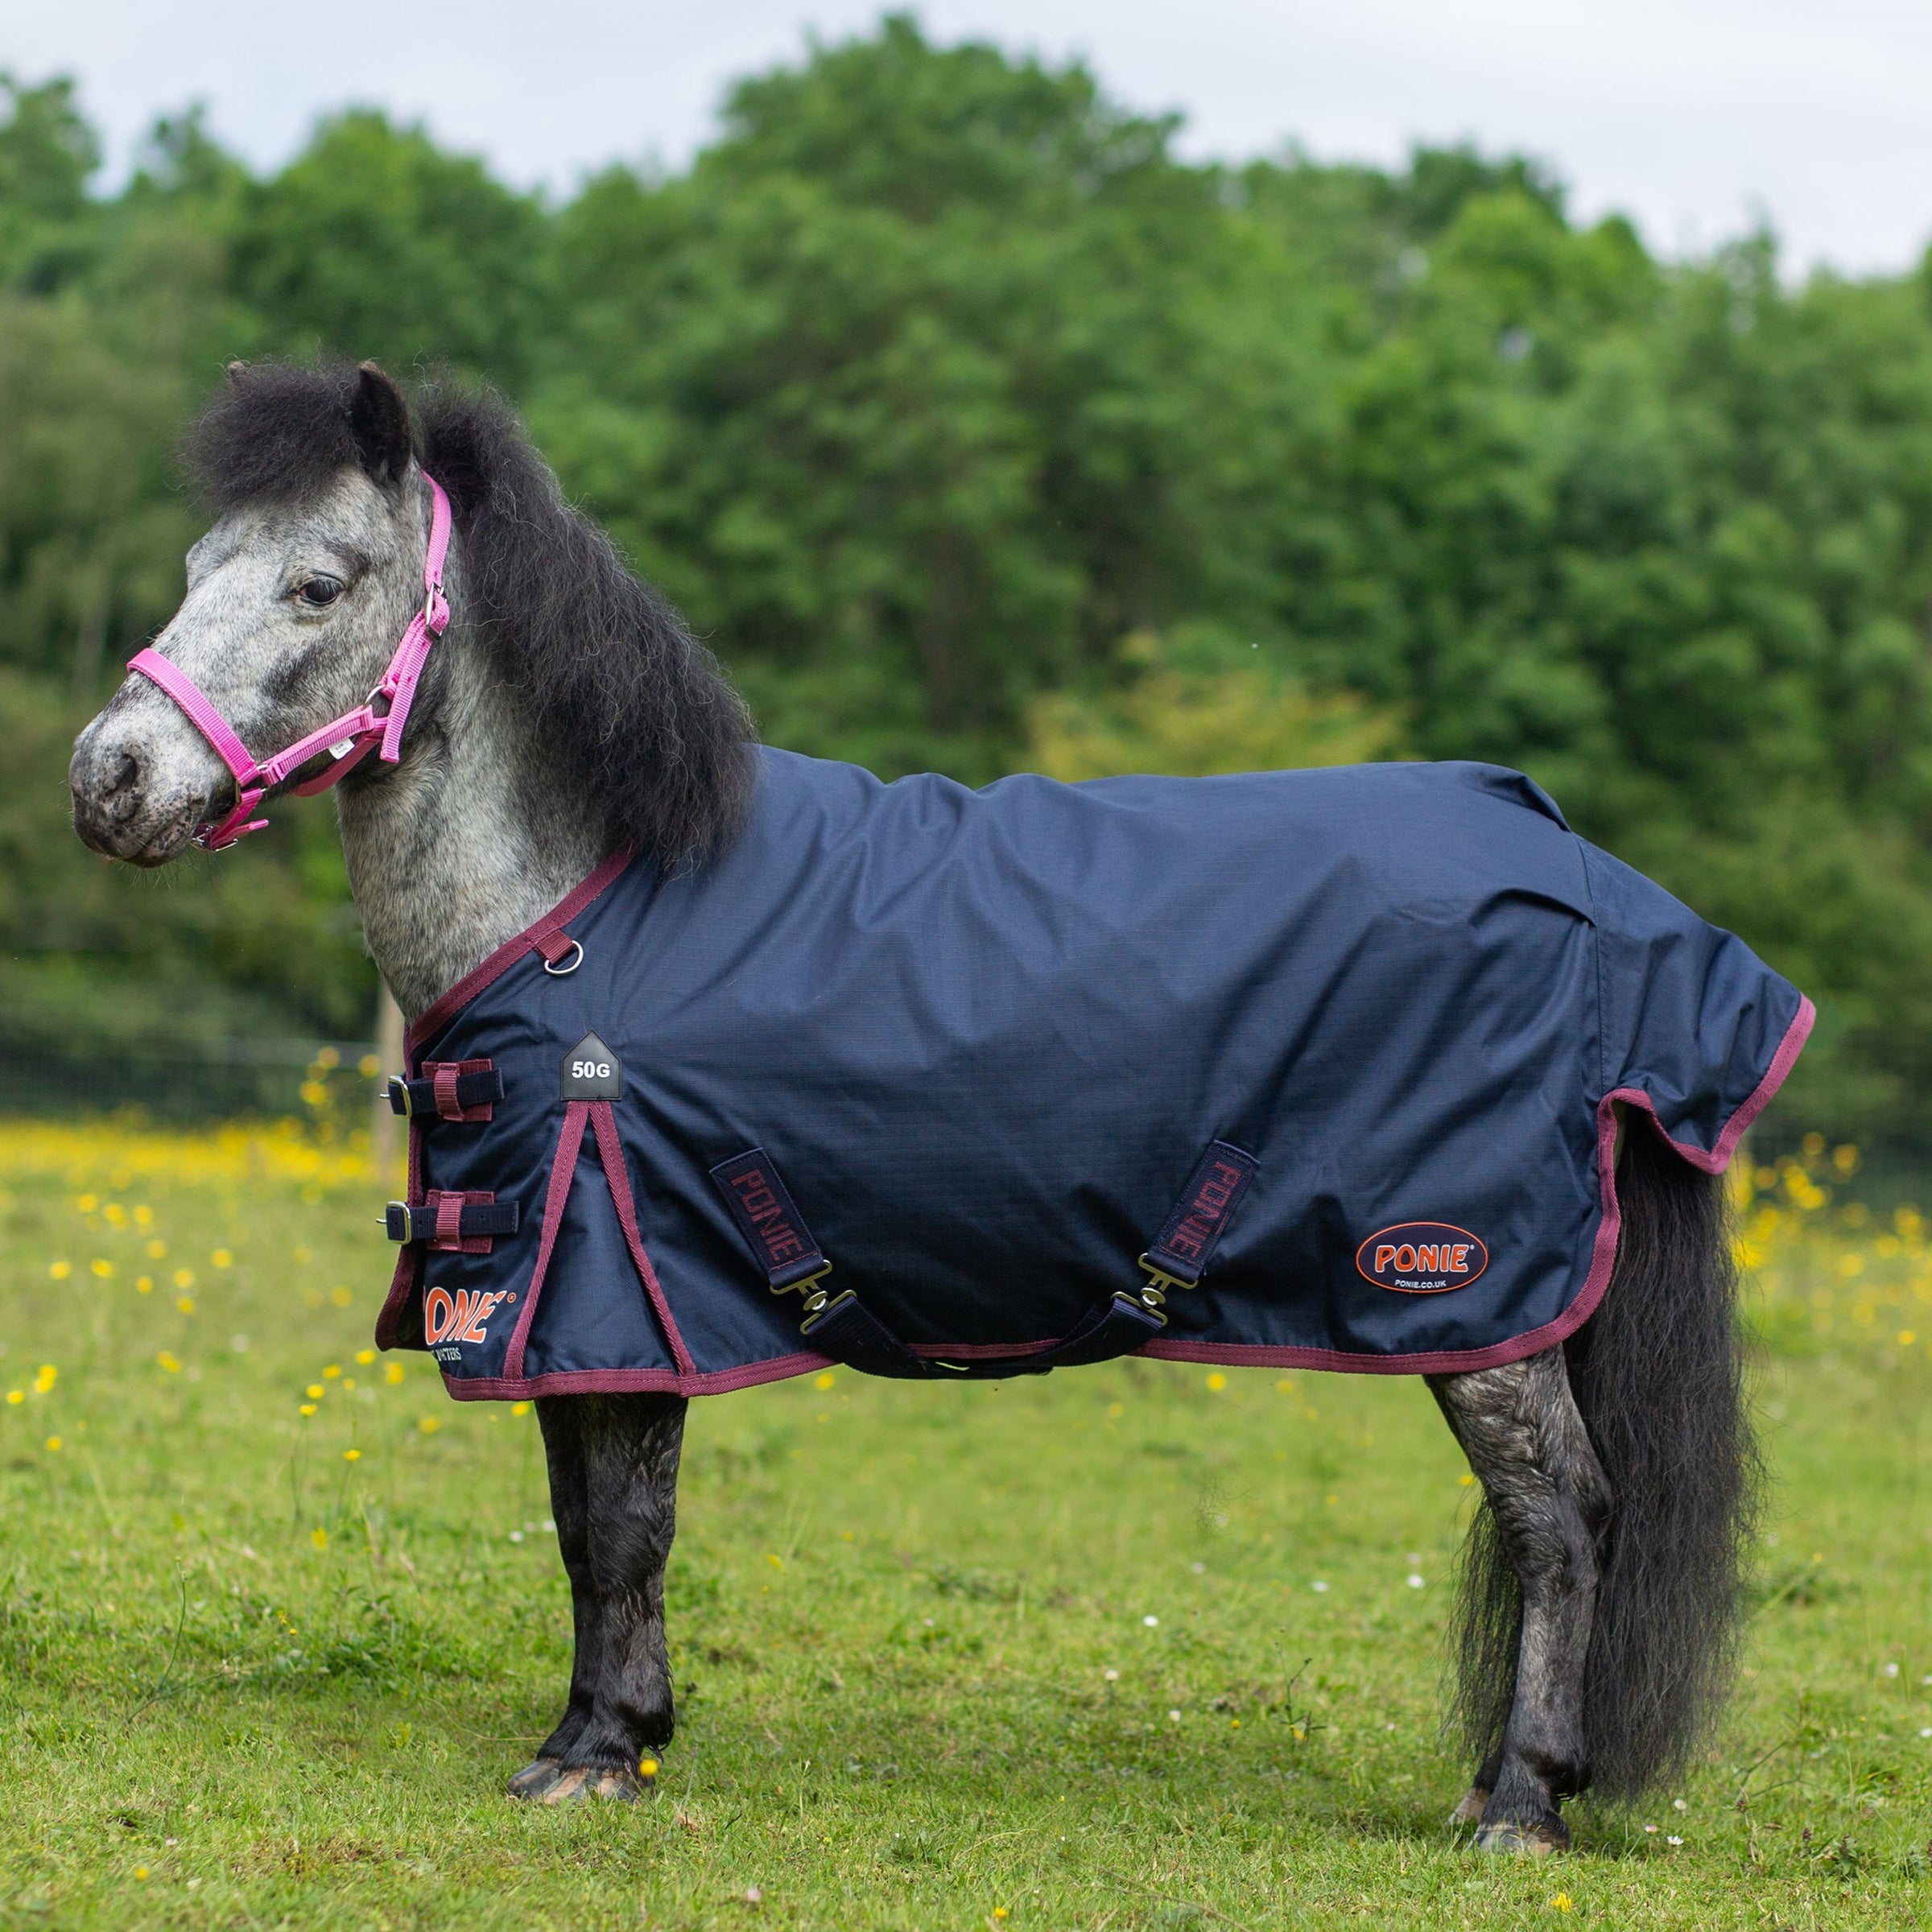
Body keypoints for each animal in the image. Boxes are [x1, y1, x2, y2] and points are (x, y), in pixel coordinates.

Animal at [68, 359, 1775, 1852]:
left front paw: (598, 1755)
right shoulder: (565, 1301)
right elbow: (582, 1523)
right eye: (198, 563)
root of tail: (1588, 878)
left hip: (1473, 1294)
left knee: (1562, 1517)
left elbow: (623, 1526)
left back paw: (1521, 1803)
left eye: (319, 584)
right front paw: (608, 1735)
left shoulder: (615, 1271)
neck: (588, 905)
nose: (107, 778)